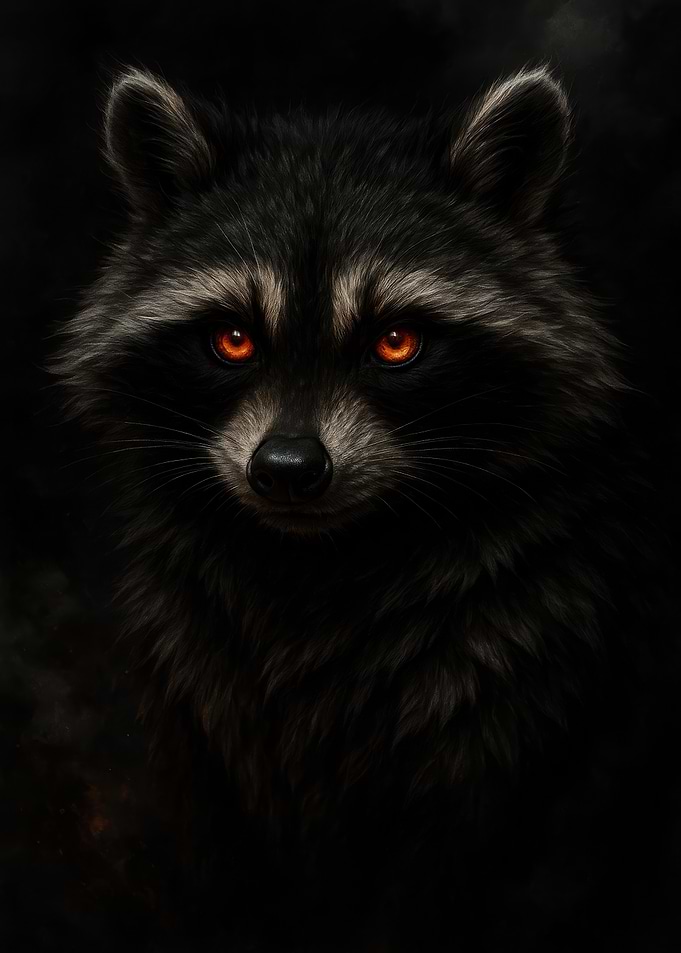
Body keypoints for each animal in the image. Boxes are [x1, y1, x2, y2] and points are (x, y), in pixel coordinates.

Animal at [54, 66, 647, 947]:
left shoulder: (510, 684)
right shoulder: (199, 693)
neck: (326, 560)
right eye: (233, 339)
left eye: (395, 342)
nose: (288, 469)